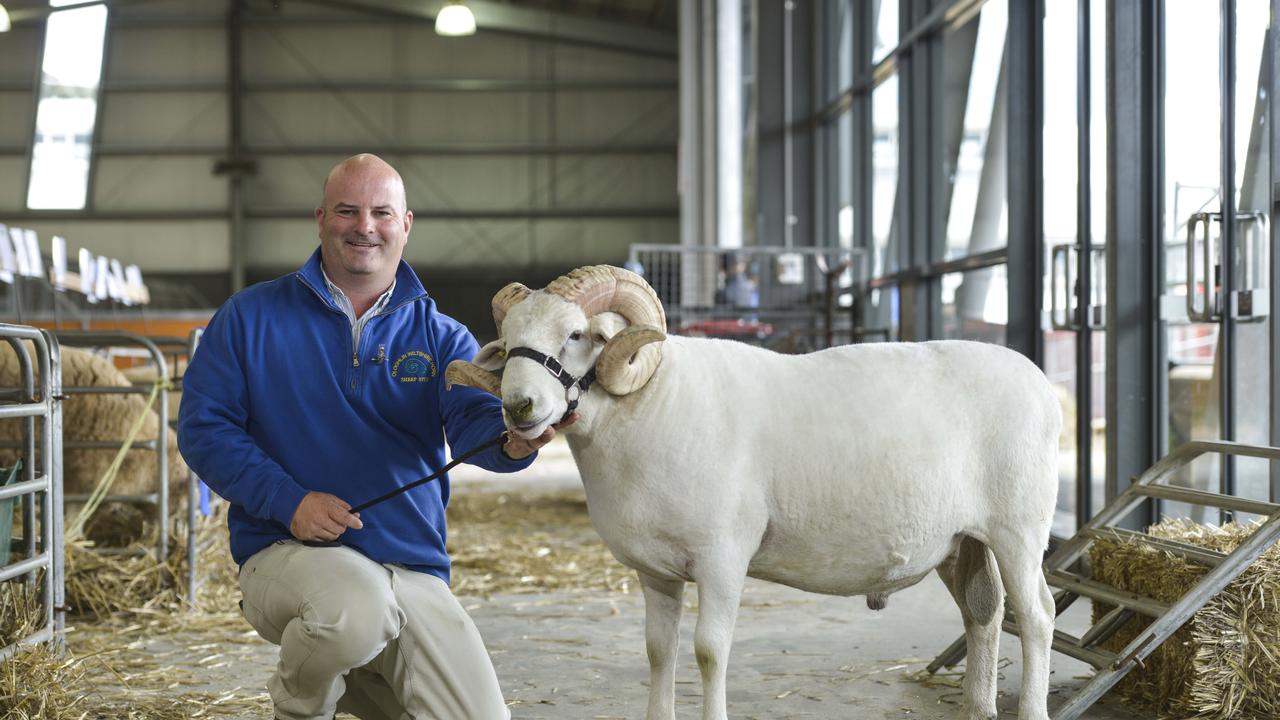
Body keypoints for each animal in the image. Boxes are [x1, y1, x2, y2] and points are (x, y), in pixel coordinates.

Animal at [445, 266, 1064, 717]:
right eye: (509, 343)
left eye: (577, 335)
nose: (518, 407)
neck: (654, 403)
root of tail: (1040, 381)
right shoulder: (655, 570)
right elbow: (658, 651)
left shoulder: (722, 557)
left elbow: (709, 650)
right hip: (963, 540)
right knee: (984, 614)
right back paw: (978, 708)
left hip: (1019, 528)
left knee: (1036, 616)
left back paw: (1030, 708)